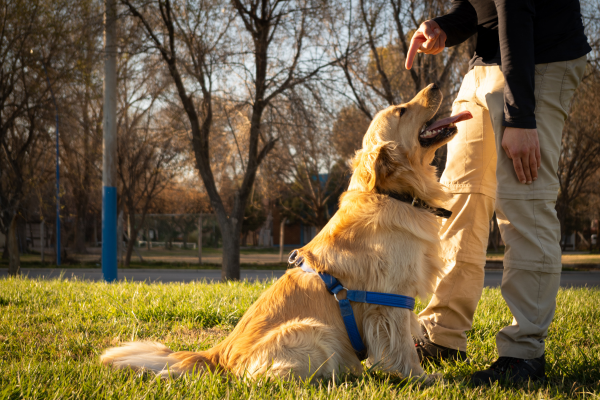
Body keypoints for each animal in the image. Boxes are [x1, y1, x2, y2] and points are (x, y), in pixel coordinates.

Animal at [101, 83, 472, 382]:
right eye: (402, 110)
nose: (436, 85)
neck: (393, 193)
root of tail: (218, 354)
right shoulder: (391, 299)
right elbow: (402, 346)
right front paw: (420, 378)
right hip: (314, 331)